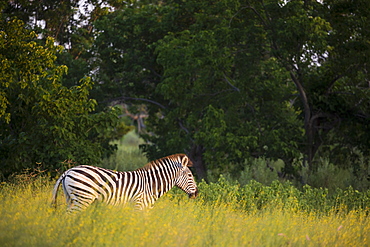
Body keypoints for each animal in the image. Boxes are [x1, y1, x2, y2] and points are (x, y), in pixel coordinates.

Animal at [51, 153, 199, 211]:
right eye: (190, 175)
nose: (197, 194)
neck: (151, 184)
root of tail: (69, 170)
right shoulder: (139, 205)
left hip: (71, 198)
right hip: (83, 198)